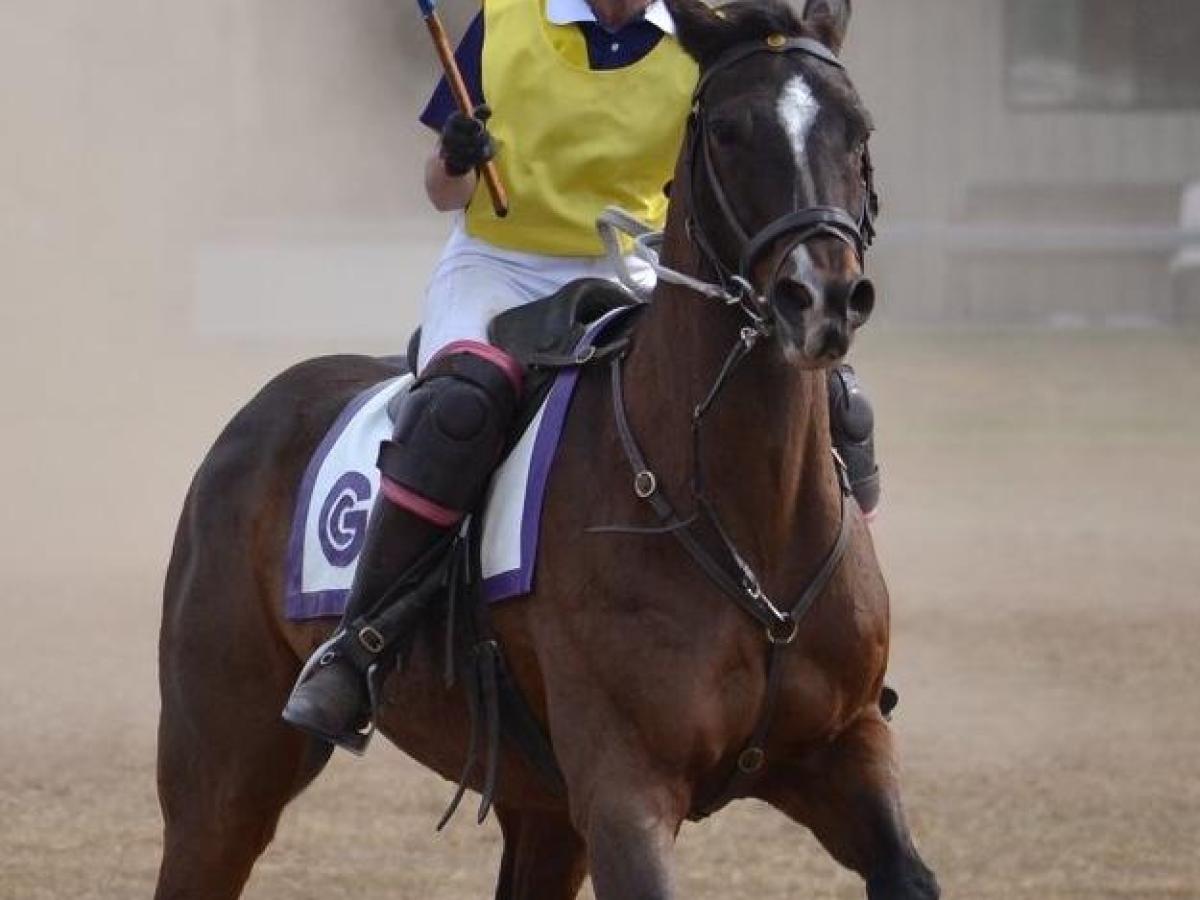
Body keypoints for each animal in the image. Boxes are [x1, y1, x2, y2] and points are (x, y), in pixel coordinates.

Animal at [154, 1, 939, 897]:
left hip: (539, 807)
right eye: (728, 130)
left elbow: (908, 868)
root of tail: (256, 413)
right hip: (224, 771)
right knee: (459, 406)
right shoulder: (625, 790)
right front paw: (464, 146)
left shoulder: (846, 750)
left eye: (857, 126)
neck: (747, 527)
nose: (822, 297)